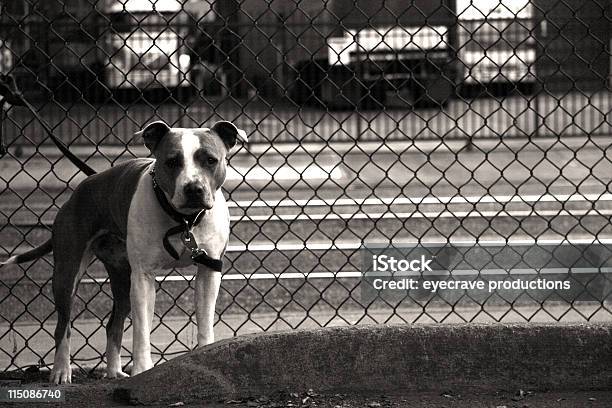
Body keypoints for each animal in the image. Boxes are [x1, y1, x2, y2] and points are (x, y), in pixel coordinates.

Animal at [2, 119, 246, 384]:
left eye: (210, 160)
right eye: (172, 161)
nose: (193, 189)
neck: (183, 220)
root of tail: (83, 186)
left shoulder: (208, 272)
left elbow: (204, 320)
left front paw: (204, 354)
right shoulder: (143, 277)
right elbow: (141, 330)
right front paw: (143, 369)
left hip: (121, 277)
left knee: (113, 325)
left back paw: (114, 373)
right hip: (67, 274)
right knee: (63, 326)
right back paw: (61, 371)